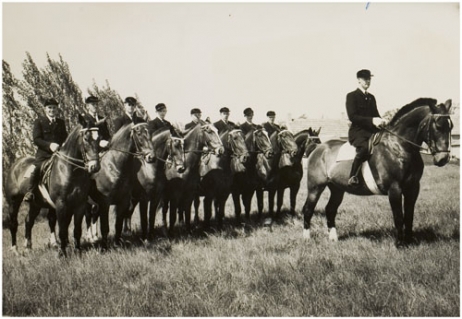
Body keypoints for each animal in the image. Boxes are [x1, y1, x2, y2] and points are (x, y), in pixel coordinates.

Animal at [4, 120, 100, 258]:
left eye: (99, 138)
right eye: (86, 138)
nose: (95, 167)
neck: (69, 170)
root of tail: (16, 165)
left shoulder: (80, 204)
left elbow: (77, 229)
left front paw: (78, 251)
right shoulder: (61, 204)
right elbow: (62, 230)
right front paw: (62, 253)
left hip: (36, 204)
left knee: (28, 221)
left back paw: (28, 247)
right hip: (13, 202)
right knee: (13, 223)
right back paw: (15, 249)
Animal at [302, 98, 452, 248]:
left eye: (450, 126)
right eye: (438, 126)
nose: (443, 159)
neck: (399, 147)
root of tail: (318, 147)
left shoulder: (413, 188)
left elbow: (409, 216)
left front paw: (409, 242)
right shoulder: (394, 189)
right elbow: (398, 216)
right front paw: (399, 244)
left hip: (337, 189)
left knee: (330, 209)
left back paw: (333, 238)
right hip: (315, 187)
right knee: (308, 209)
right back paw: (307, 238)